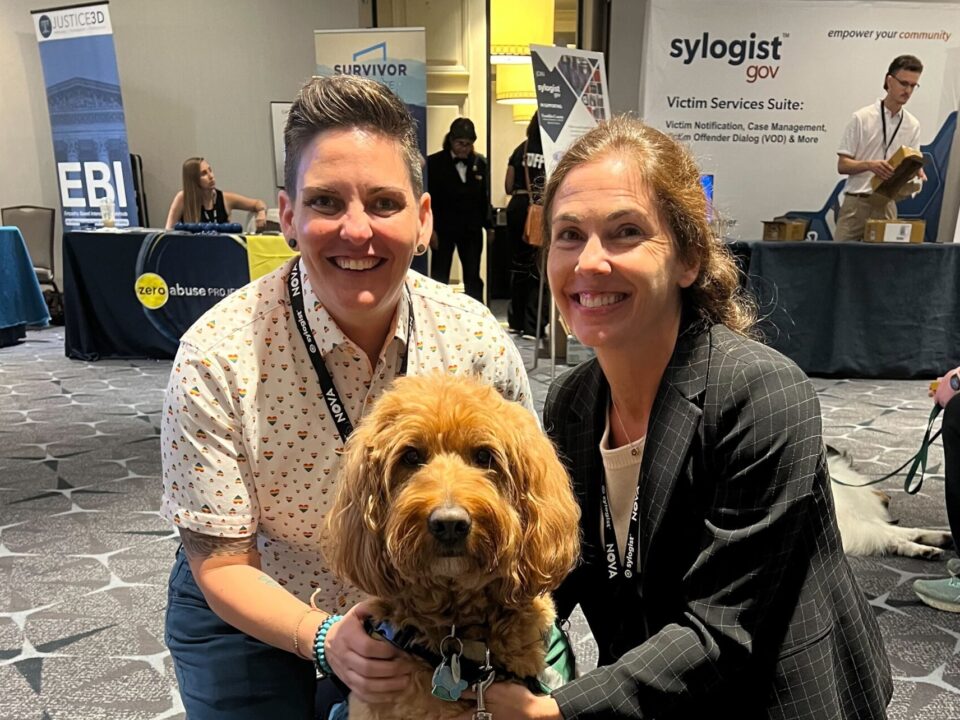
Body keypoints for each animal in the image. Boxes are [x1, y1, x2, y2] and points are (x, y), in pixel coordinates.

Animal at [824, 448, 952, 560]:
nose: (890, 497)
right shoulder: (849, 529)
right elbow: (890, 536)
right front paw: (925, 549)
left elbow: (906, 531)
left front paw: (943, 536)